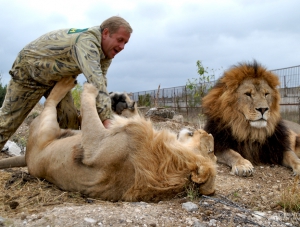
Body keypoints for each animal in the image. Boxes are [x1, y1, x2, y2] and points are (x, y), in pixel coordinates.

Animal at [0, 77, 217, 201]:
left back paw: (66, 83)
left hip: (46, 124)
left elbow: (88, 104)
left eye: (211, 151)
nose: (207, 133)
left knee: (51, 102)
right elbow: (125, 114)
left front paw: (91, 89)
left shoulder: (96, 144)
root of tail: (27, 157)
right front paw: (121, 100)